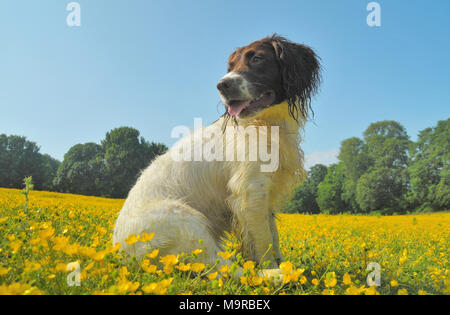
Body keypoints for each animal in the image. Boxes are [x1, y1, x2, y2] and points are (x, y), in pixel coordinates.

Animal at [112, 34, 320, 278]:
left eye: (257, 58)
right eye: (230, 66)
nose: (222, 85)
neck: (267, 124)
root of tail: (120, 253)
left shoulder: (265, 195)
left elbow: (273, 237)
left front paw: (282, 263)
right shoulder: (251, 192)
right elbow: (264, 245)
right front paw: (274, 268)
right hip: (186, 220)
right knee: (223, 267)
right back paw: (276, 276)